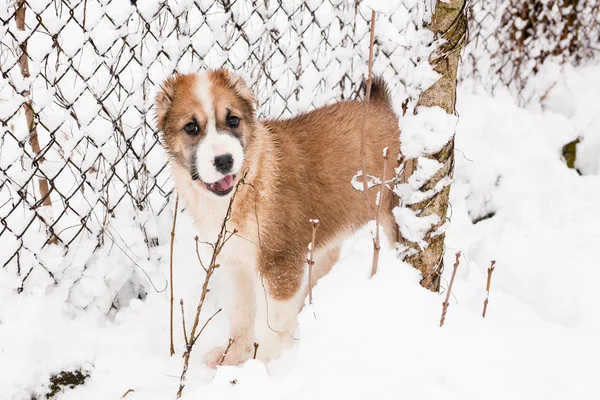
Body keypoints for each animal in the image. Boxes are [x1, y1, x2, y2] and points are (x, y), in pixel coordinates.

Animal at [156, 67, 398, 368]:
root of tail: (379, 106)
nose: (224, 161)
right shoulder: (234, 261)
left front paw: (262, 367)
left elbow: (271, 325)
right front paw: (232, 356)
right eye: (191, 127)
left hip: (388, 210)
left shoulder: (279, 264)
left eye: (233, 120)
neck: (249, 181)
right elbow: (240, 314)